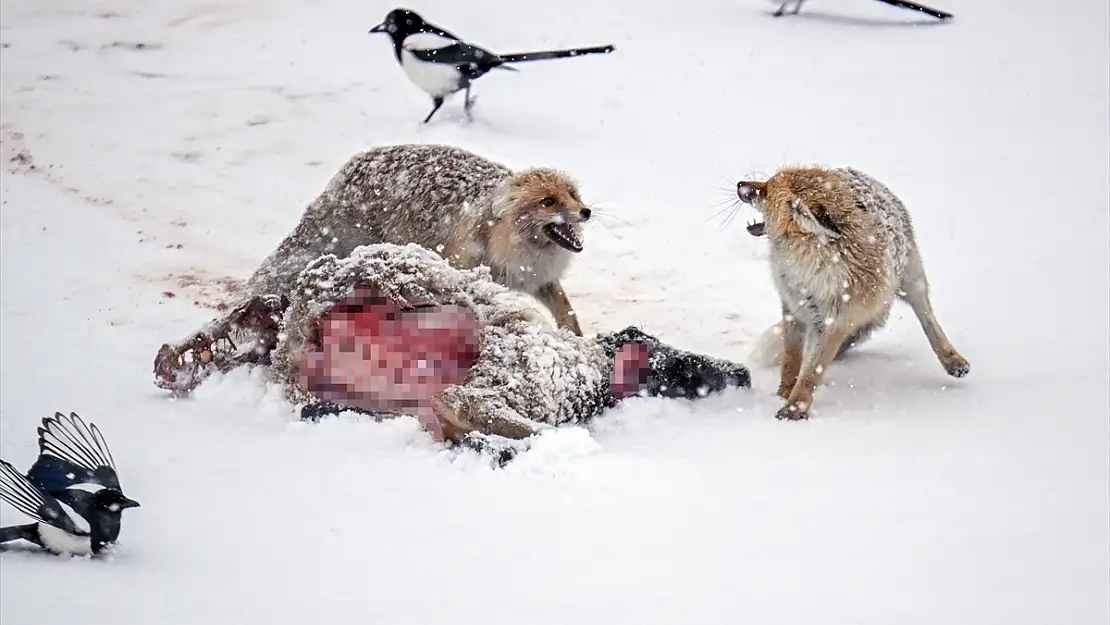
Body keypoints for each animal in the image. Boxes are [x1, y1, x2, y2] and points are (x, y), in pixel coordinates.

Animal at [737, 166, 972, 419]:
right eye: (768, 183)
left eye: (766, 191)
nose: (740, 184)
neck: (811, 270)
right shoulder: (793, 306)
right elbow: (791, 359)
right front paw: (784, 392)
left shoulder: (836, 322)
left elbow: (811, 374)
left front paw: (794, 408)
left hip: (912, 280)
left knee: (928, 318)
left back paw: (952, 360)